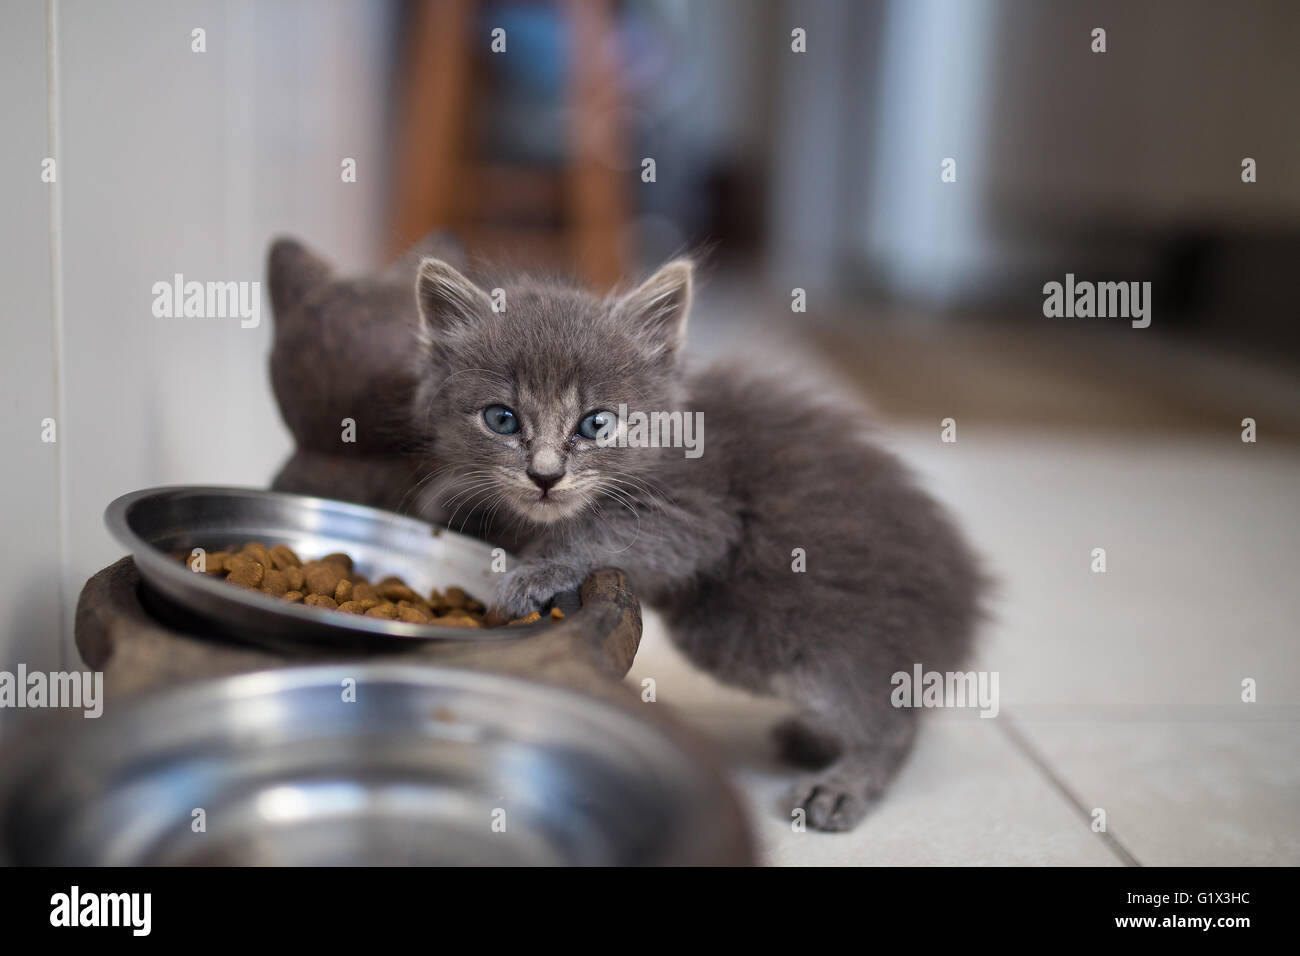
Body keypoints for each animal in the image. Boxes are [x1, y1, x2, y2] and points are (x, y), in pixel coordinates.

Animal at [410, 256, 977, 832]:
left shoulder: (700, 516)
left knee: (891, 719)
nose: (545, 476)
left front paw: (537, 570)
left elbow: (595, 531)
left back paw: (844, 782)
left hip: (787, 639)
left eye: (596, 423)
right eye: (501, 418)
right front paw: (452, 496)